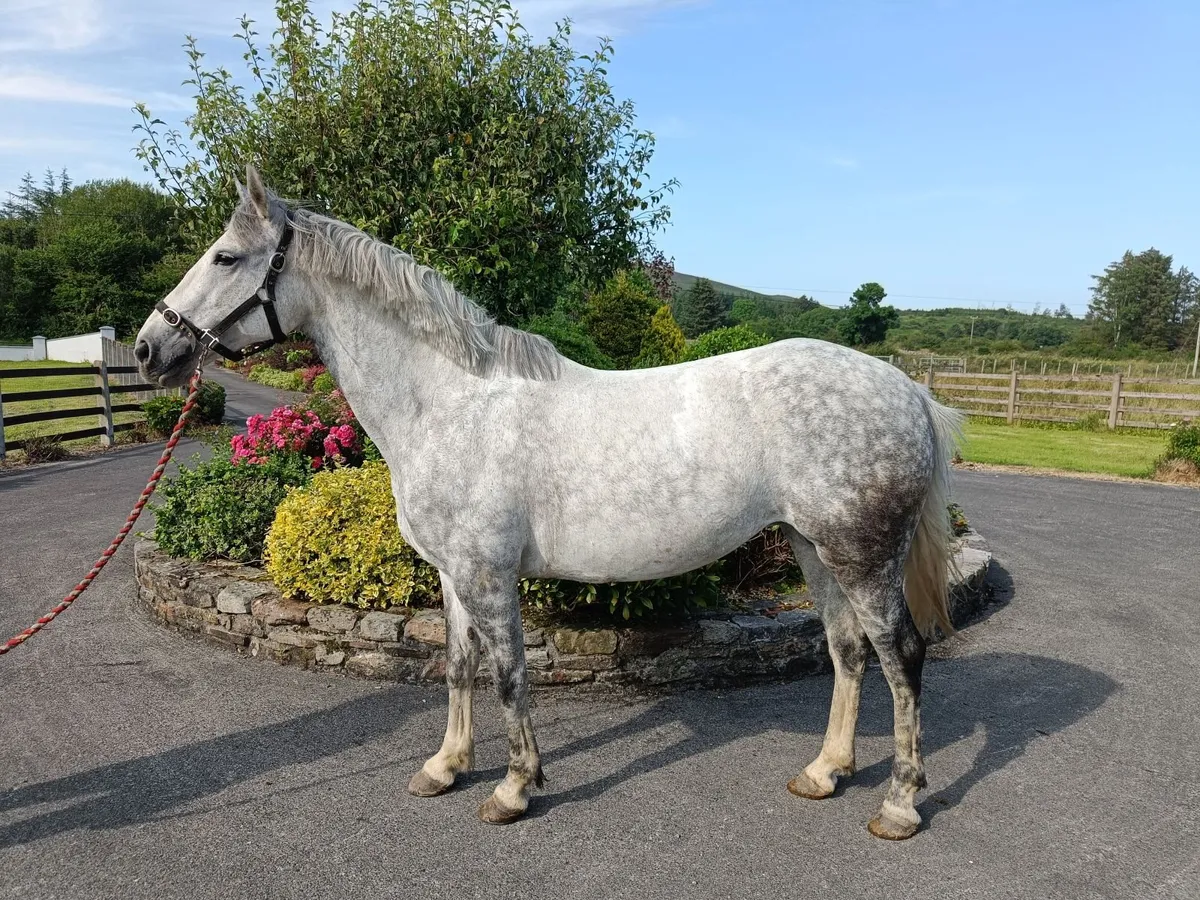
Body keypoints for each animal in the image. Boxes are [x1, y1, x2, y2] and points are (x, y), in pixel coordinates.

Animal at [135, 165, 961, 840]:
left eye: (226, 257)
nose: (150, 349)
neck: (448, 402)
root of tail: (909, 392)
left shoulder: (488, 574)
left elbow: (508, 674)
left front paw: (513, 788)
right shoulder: (452, 574)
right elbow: (459, 666)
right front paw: (444, 767)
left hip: (862, 556)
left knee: (902, 656)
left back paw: (899, 804)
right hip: (813, 548)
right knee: (848, 650)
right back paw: (825, 772)